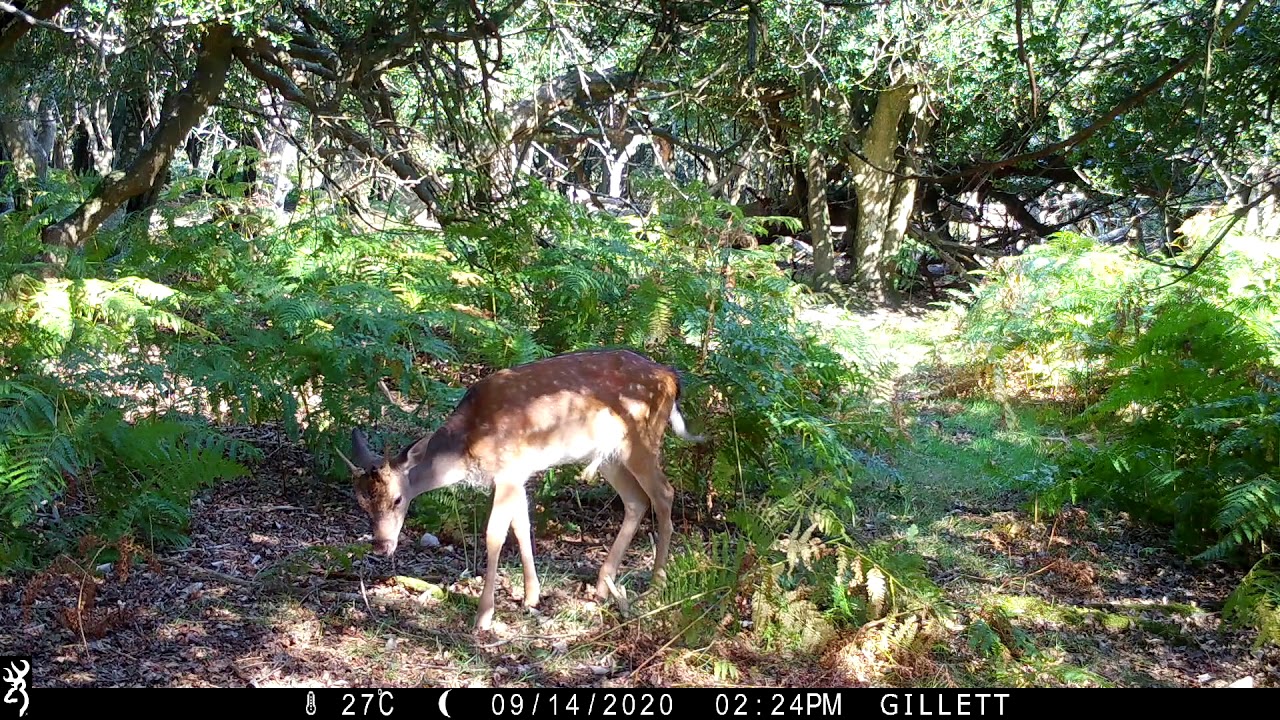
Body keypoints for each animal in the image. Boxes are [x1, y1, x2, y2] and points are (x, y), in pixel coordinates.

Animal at [335, 348, 707, 631]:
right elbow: (522, 527)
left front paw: (484, 615)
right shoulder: (518, 475)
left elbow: (494, 535)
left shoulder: (508, 470)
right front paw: (531, 596)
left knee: (664, 493)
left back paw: (657, 583)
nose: (382, 546)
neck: (469, 444)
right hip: (609, 455)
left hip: (642, 439)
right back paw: (603, 586)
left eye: (398, 499)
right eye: (362, 503)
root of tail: (671, 378)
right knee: (635, 500)